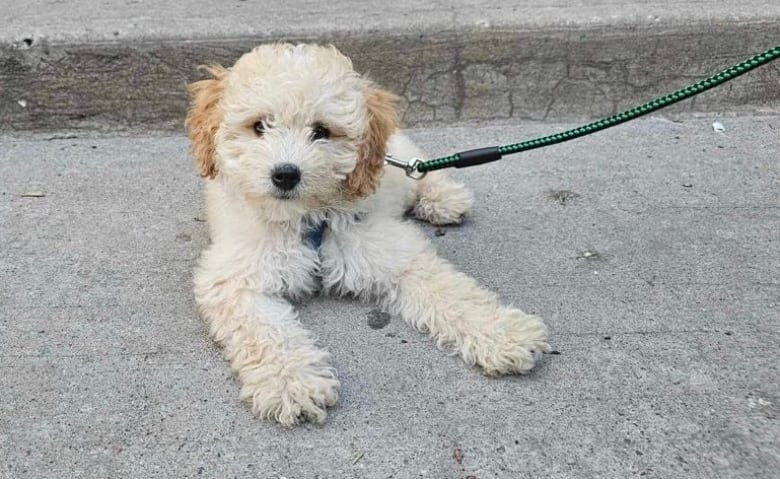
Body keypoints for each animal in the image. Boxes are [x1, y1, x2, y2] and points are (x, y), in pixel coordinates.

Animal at [184, 44, 548, 428]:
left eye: (321, 131)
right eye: (259, 126)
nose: (285, 174)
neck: (309, 221)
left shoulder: (394, 252)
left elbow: (453, 294)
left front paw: (505, 334)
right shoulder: (235, 277)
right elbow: (264, 333)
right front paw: (291, 383)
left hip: (399, 158)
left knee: (422, 169)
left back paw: (443, 198)